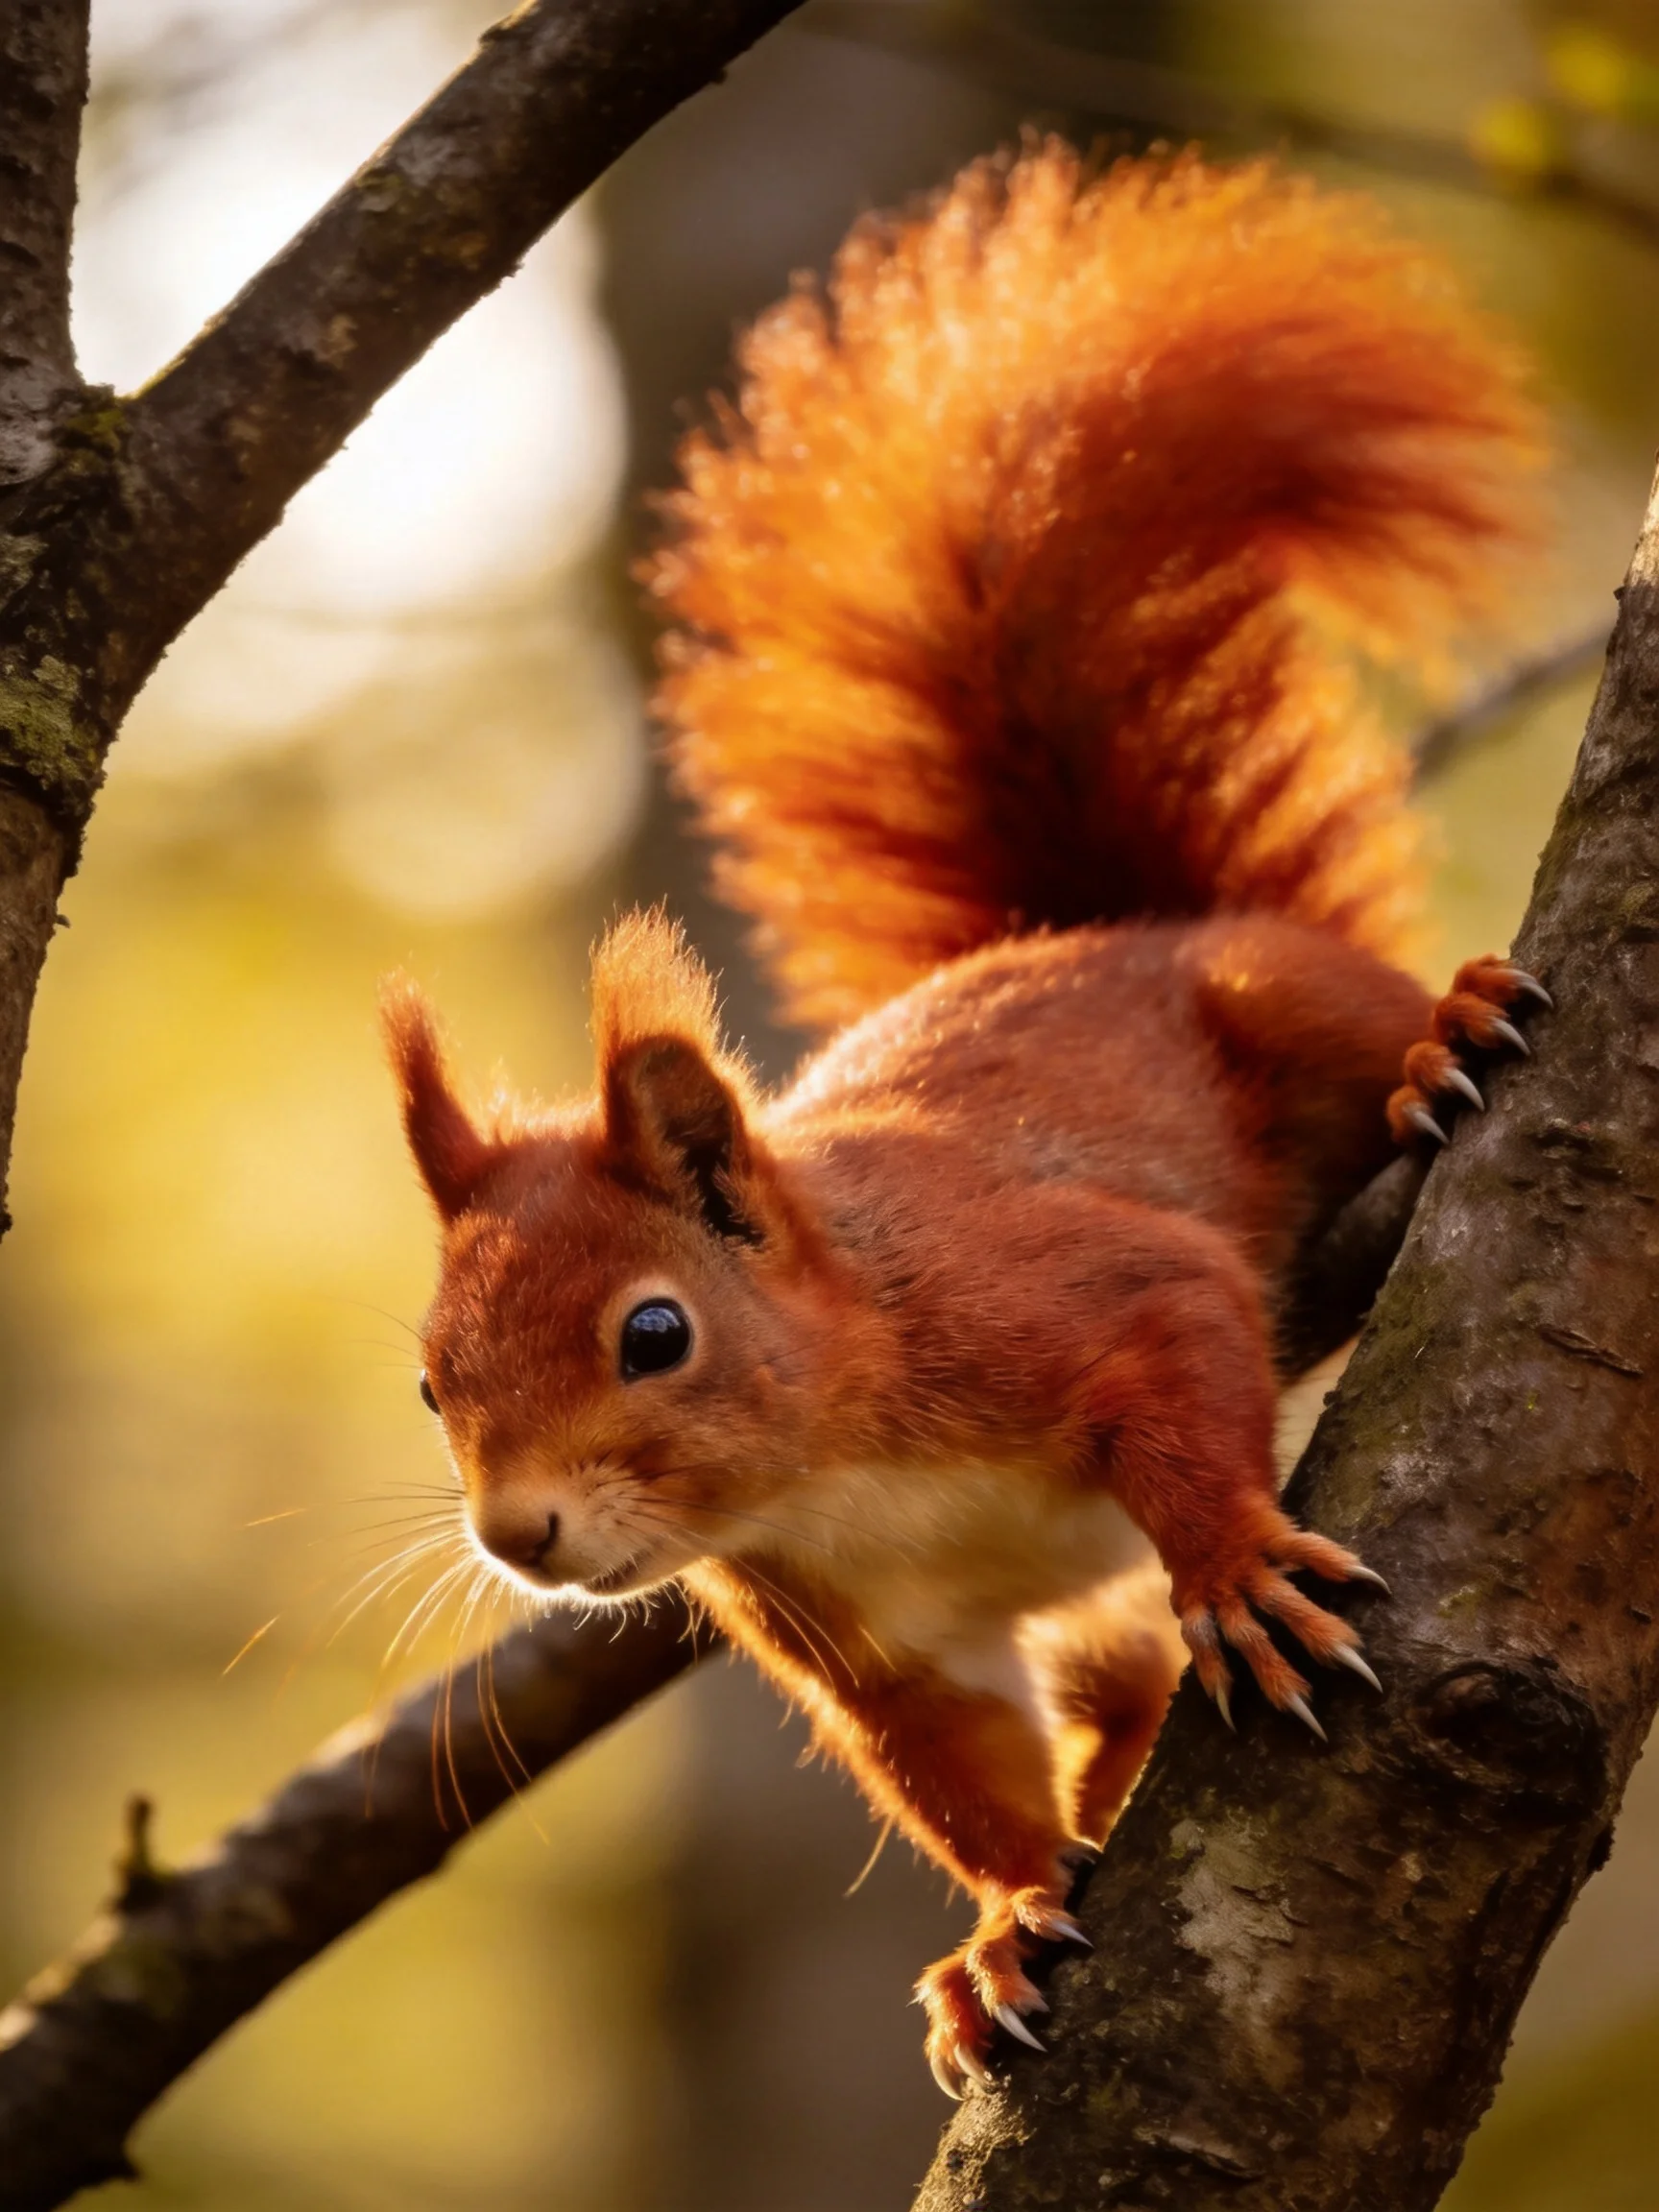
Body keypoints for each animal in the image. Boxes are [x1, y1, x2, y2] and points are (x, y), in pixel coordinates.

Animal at [383, 144, 1548, 2098]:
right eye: (427, 1383)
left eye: (652, 1332)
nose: (517, 1535)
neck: (840, 1458)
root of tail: (1119, 922)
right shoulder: (869, 1642)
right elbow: (959, 1775)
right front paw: (1003, 1928)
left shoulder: (1055, 1284)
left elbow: (1181, 1346)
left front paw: (1236, 1560)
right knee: (1115, 1699)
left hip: (1269, 990)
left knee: (1355, 1026)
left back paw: (1438, 1039)